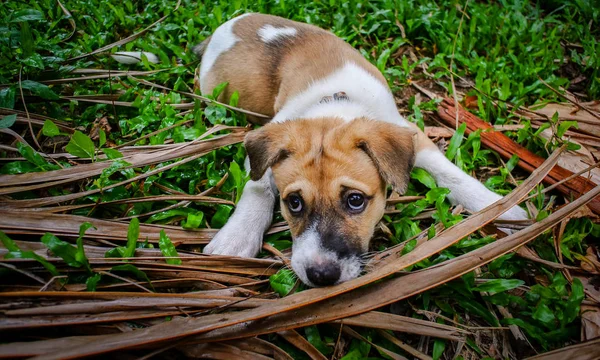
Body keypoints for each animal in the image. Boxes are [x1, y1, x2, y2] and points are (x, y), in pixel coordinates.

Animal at [195, 13, 528, 286]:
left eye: (355, 201)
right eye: (294, 203)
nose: (321, 276)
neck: (336, 106)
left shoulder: (412, 134)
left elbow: (451, 174)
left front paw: (501, 206)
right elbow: (257, 186)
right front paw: (237, 236)